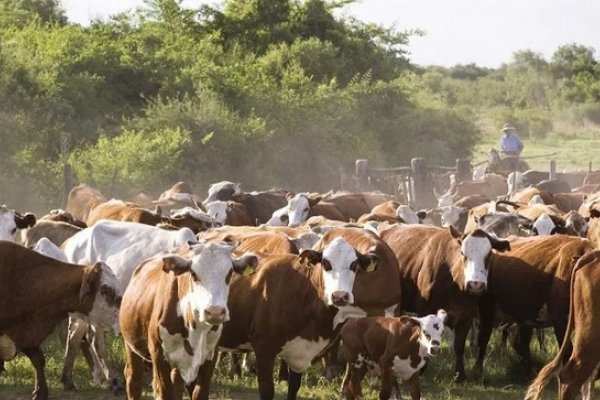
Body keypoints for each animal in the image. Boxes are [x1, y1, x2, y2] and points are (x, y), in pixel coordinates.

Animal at [118, 242, 256, 400]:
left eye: (229, 273)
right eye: (194, 273)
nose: (214, 312)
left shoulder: (209, 356)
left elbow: (198, 393)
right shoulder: (159, 355)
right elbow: (166, 393)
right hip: (131, 345)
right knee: (133, 379)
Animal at [380, 223, 510, 380]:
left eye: (489, 255)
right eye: (463, 253)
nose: (476, 284)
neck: (454, 281)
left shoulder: (466, 316)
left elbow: (459, 346)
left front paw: (460, 375)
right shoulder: (424, 310)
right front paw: (421, 370)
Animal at [474, 234, 596, 378]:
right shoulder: (560, 319)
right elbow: (568, 352)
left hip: (525, 317)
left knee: (521, 344)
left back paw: (531, 374)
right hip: (487, 307)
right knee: (483, 337)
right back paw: (478, 371)